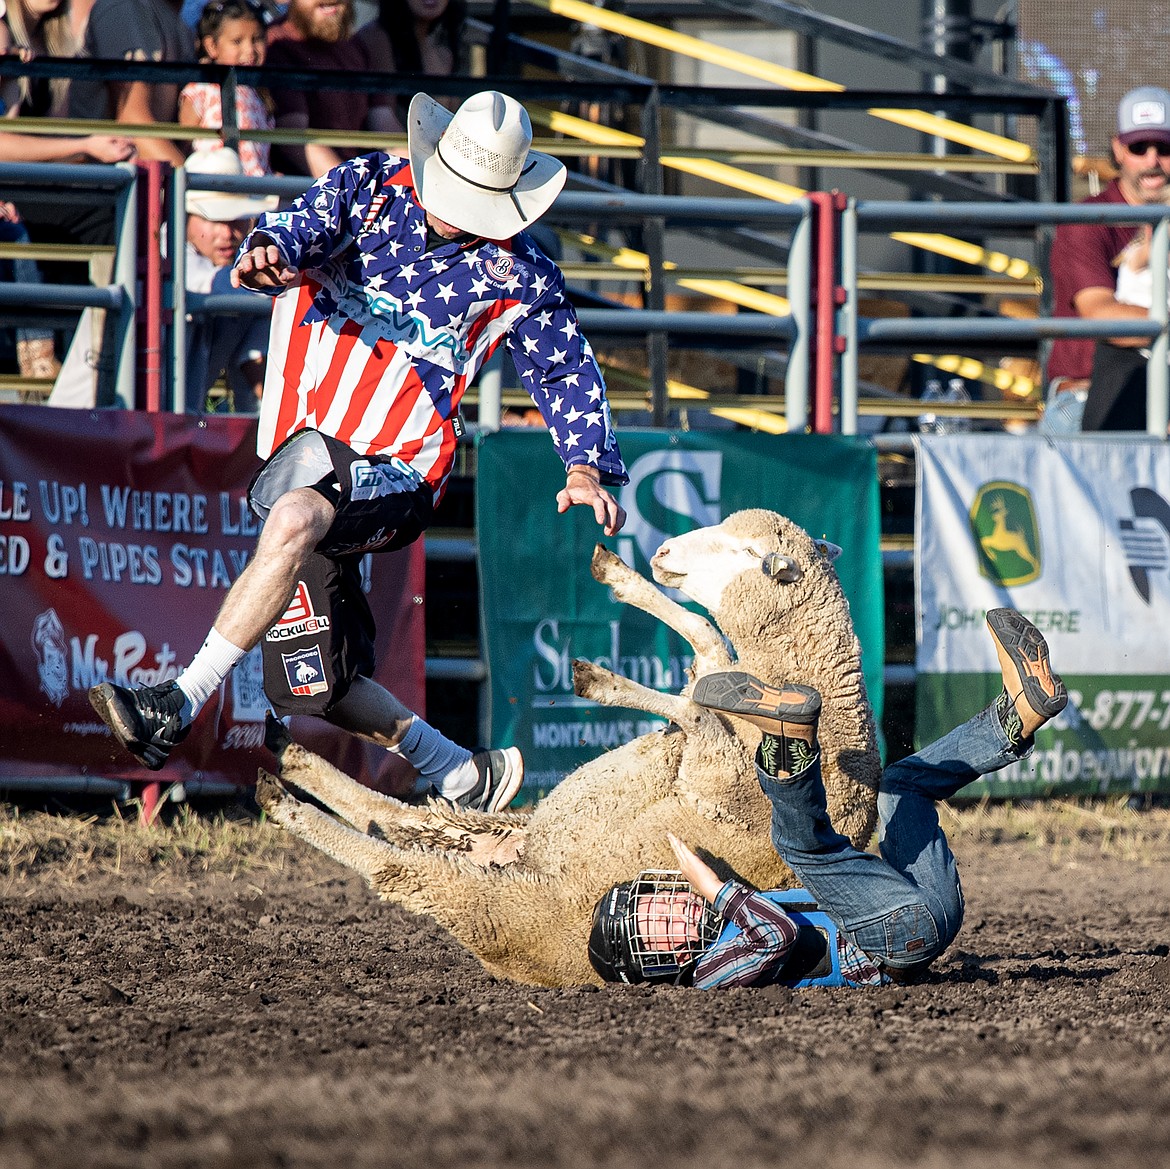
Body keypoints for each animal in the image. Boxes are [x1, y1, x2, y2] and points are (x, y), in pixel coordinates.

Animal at [256, 510, 879, 987]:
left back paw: (287, 804)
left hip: (490, 904)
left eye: (746, 550)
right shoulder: (709, 726)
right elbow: (704, 644)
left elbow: (701, 694)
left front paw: (600, 680)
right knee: (391, 814)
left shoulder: (721, 776)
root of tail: (515, 862)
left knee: (393, 863)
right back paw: (292, 759)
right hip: (489, 830)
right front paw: (621, 577)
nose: (665, 549)